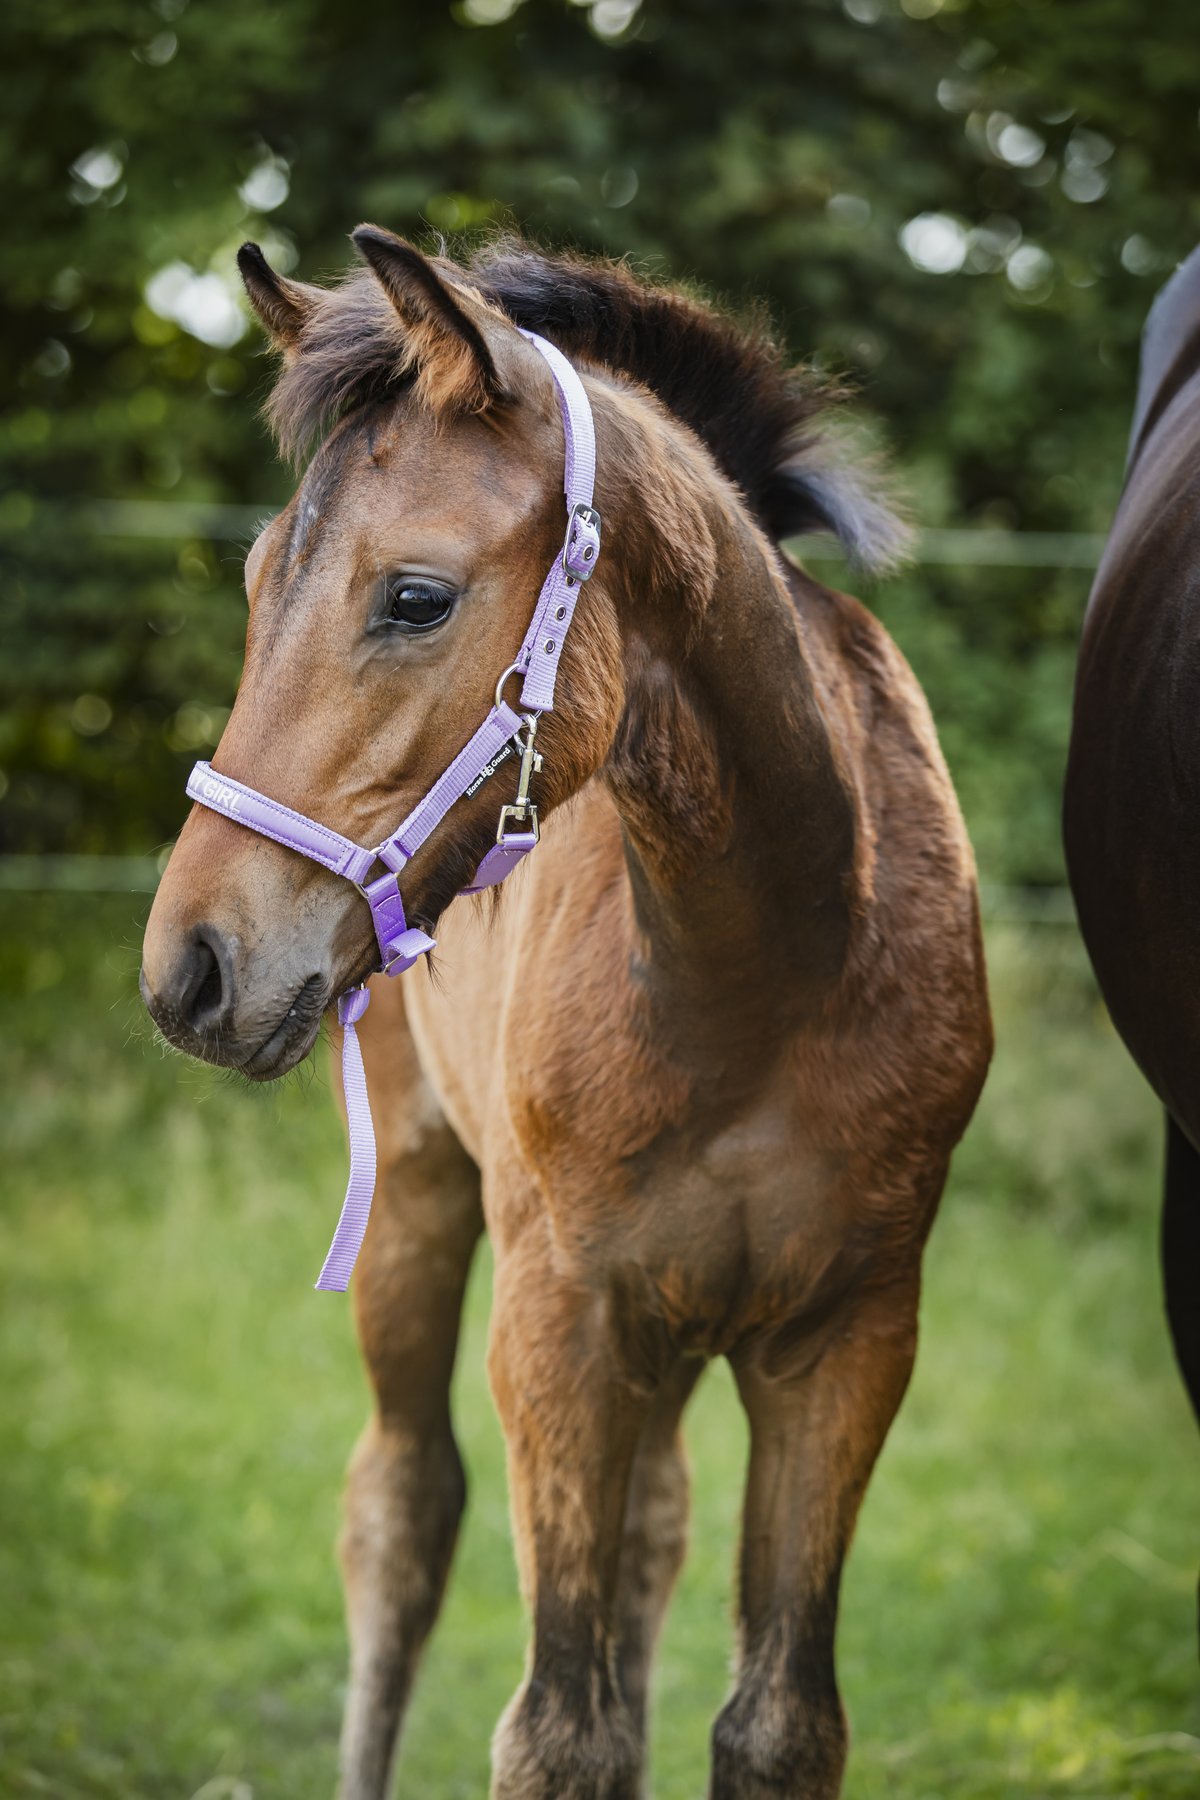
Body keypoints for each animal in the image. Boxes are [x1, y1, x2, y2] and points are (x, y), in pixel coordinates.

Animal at [140, 227, 992, 1800]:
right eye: (253, 580)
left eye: (415, 597)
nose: (193, 969)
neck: (760, 978)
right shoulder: (561, 1329)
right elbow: (559, 1730)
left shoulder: (846, 1338)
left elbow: (779, 1721)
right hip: (418, 1203)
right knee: (399, 1514)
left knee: (647, 1530)